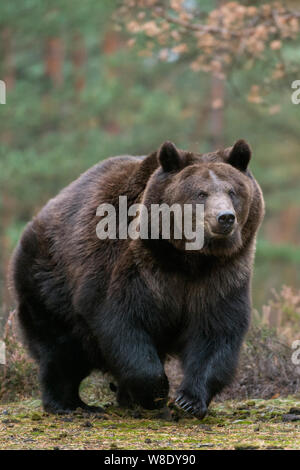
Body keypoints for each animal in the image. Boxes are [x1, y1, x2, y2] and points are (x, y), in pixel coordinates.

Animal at [9, 138, 264, 416]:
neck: (187, 258)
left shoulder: (221, 275)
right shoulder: (130, 267)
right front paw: (155, 393)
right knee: (60, 347)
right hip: (48, 278)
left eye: (232, 191)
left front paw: (189, 400)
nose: (224, 218)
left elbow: (215, 332)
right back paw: (70, 404)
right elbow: (122, 322)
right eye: (200, 193)